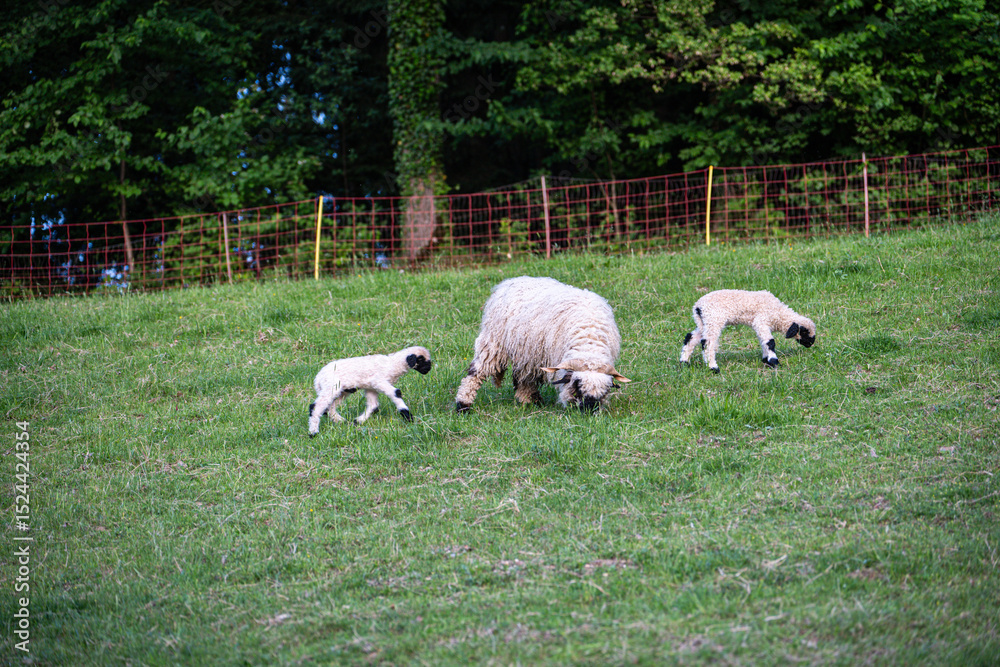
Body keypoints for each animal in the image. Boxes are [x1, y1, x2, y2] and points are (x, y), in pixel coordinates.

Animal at [455, 276, 630, 412]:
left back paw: (531, 401)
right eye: (578, 387)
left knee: (523, 377)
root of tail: (509, 282)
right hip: (494, 342)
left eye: (604, 392)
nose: (589, 411)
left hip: (527, 351)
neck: (589, 341)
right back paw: (463, 405)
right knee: (476, 373)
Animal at [679, 289, 816, 373]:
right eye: (804, 332)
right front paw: (774, 362)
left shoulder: (759, 324)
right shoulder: (761, 321)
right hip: (714, 320)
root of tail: (698, 307)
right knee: (707, 343)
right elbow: (770, 342)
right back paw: (713, 368)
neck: (778, 313)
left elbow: (763, 342)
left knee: (691, 337)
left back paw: (684, 362)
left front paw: (766, 360)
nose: (811, 344)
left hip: (704, 322)